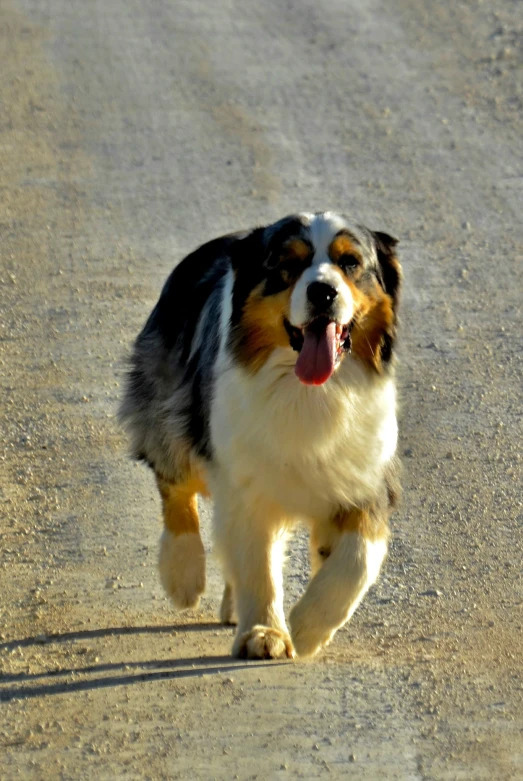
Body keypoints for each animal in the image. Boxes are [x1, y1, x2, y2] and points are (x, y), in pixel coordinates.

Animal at [121, 209, 404, 660]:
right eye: (287, 264)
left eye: (350, 263)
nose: (323, 292)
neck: (309, 393)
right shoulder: (244, 477)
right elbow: (257, 560)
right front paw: (265, 634)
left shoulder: (366, 477)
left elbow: (356, 560)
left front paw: (306, 628)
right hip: (171, 408)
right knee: (174, 482)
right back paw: (183, 575)